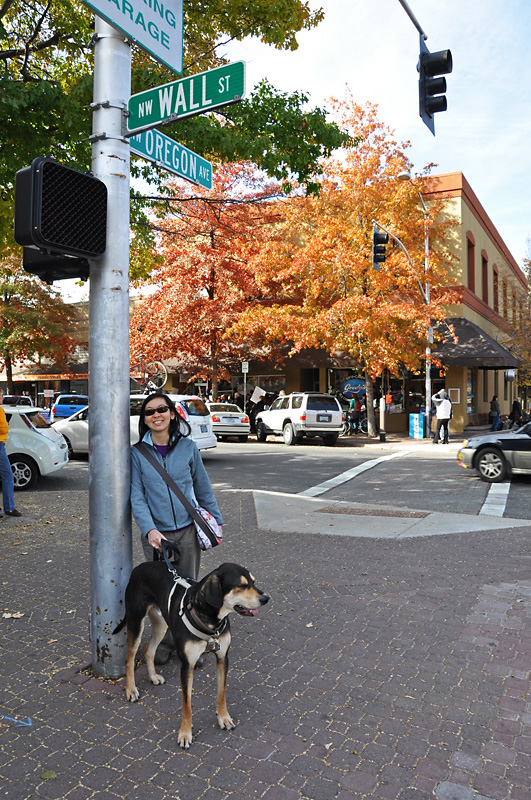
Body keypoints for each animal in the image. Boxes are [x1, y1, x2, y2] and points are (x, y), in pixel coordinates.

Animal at [114, 556, 268, 752]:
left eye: (253, 582)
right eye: (241, 585)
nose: (266, 598)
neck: (210, 621)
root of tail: (140, 567)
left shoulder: (223, 658)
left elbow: (221, 693)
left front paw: (223, 718)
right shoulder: (187, 665)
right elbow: (186, 704)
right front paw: (185, 734)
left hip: (162, 624)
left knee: (150, 650)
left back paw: (153, 676)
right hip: (136, 622)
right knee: (130, 658)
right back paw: (131, 690)